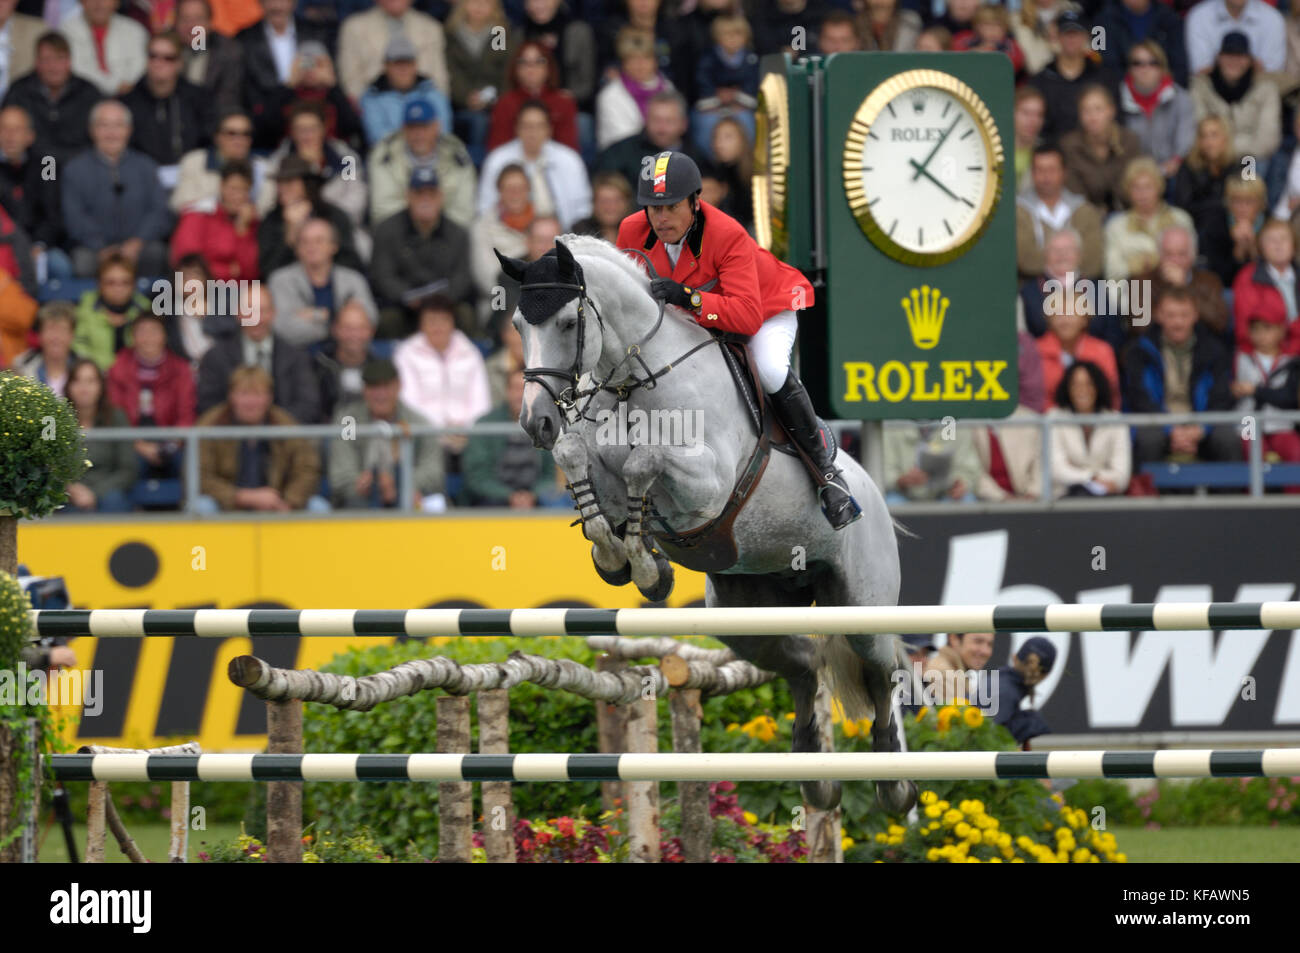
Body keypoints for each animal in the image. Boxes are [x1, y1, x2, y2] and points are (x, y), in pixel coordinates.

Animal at [493, 236, 915, 811]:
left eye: (563, 323)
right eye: (517, 324)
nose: (535, 421)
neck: (635, 381)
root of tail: (875, 496)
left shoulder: (708, 485)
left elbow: (644, 461)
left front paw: (647, 566)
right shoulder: (593, 455)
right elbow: (577, 456)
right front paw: (617, 557)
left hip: (860, 604)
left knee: (880, 672)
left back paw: (895, 784)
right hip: (743, 613)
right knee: (804, 664)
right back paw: (816, 778)